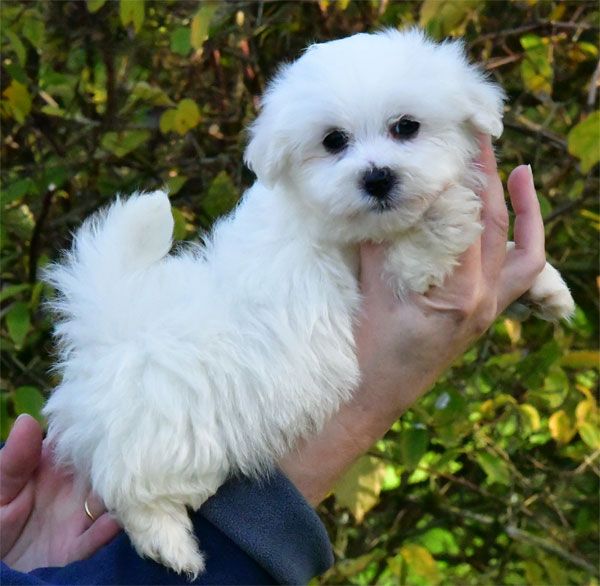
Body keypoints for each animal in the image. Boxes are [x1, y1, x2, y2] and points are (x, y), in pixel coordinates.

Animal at [43, 28, 576, 576]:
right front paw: (446, 212)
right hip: (174, 425)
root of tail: (113, 321)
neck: (353, 229)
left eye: (406, 127)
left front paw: (543, 287)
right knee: (133, 484)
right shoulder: (397, 278)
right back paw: (173, 545)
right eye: (333, 141)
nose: (377, 177)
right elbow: (421, 248)